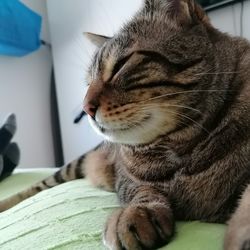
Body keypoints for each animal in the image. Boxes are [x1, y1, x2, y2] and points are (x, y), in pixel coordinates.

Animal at [0, 0, 250, 249]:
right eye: (88, 83)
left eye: (120, 65)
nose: (85, 108)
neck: (178, 147)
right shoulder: (125, 180)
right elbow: (141, 190)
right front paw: (137, 213)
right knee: (37, 186)